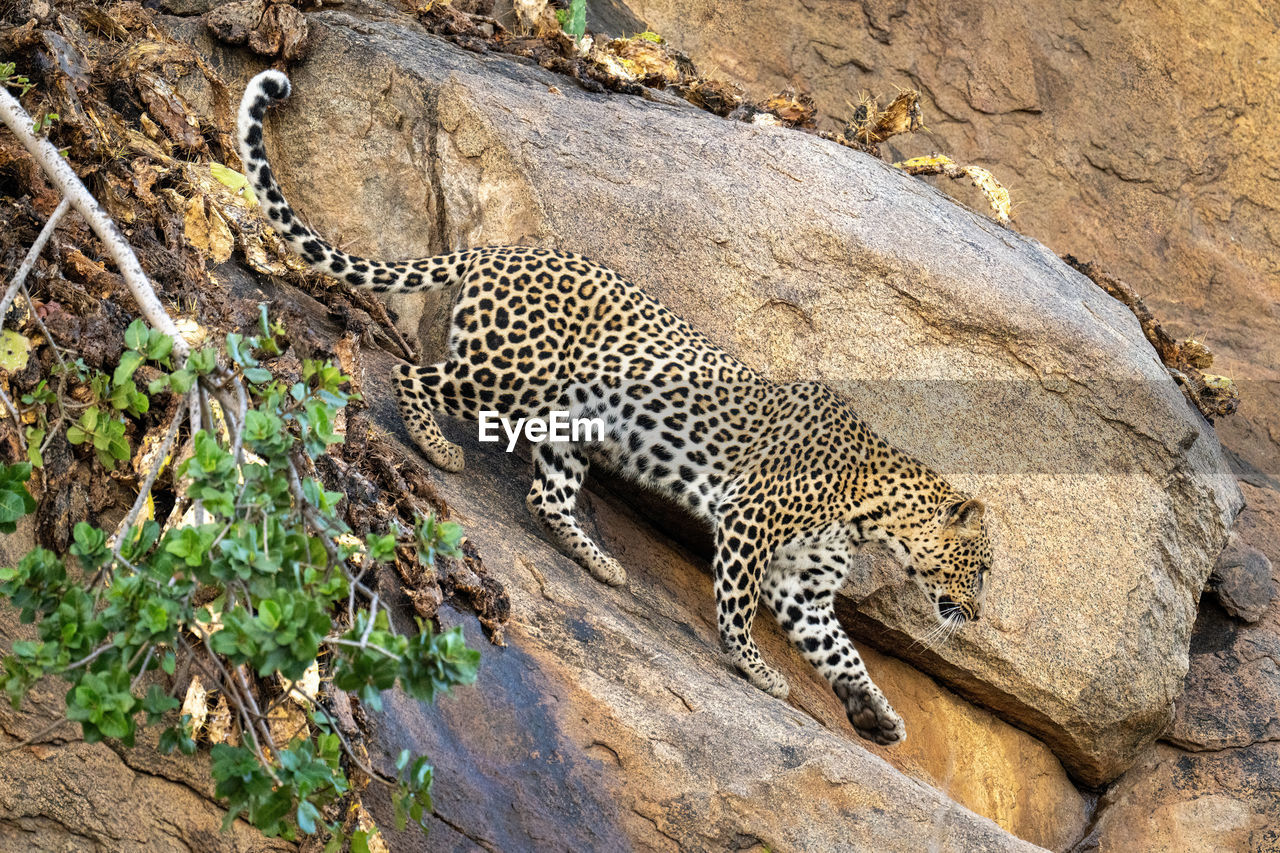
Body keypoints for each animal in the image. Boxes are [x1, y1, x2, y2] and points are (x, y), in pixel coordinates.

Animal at [241, 69, 998, 742]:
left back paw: (599, 562)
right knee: (412, 373)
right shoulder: (748, 525)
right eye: (984, 567)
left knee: (544, 494)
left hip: (570, 416)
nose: (978, 616)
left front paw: (877, 712)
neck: (873, 514)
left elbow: (843, 654)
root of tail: (496, 252)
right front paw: (755, 670)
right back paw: (436, 447)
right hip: (510, 372)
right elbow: (737, 608)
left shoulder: (803, 587)